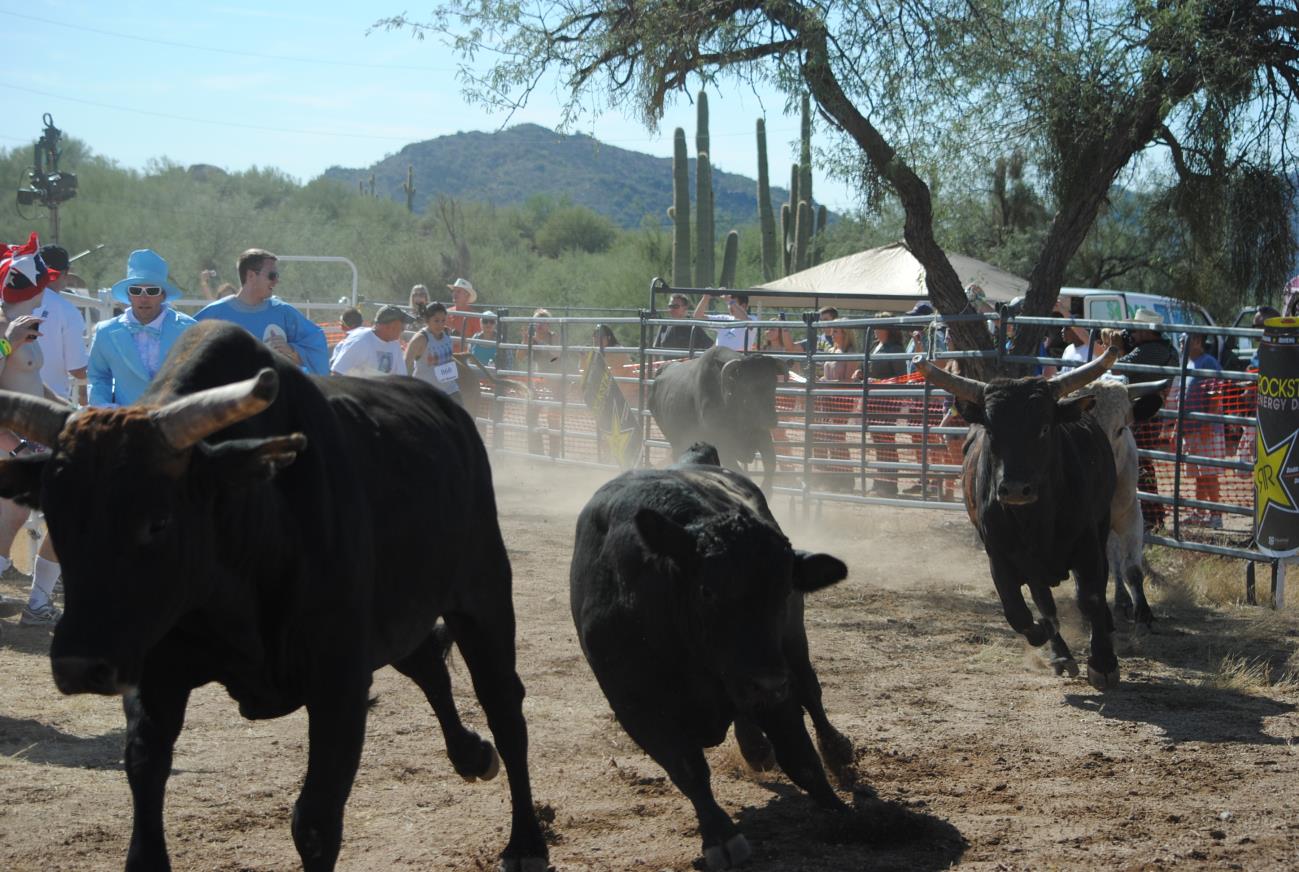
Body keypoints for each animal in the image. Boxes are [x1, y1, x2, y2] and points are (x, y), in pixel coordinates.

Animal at [0, 320, 548, 872]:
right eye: (54, 517)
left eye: (158, 521)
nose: (78, 666)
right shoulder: (154, 674)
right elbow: (145, 790)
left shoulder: (338, 683)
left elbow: (315, 823)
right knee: (428, 663)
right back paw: (472, 754)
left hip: (483, 595)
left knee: (503, 704)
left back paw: (525, 839)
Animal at [919, 345, 1122, 691]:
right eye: (991, 430)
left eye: (1043, 428)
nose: (1015, 488)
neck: (1035, 519)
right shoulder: (999, 553)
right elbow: (1020, 612)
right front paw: (1048, 636)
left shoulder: (1087, 543)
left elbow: (1091, 596)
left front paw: (1103, 662)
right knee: (1043, 600)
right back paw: (1060, 652)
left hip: (1103, 523)